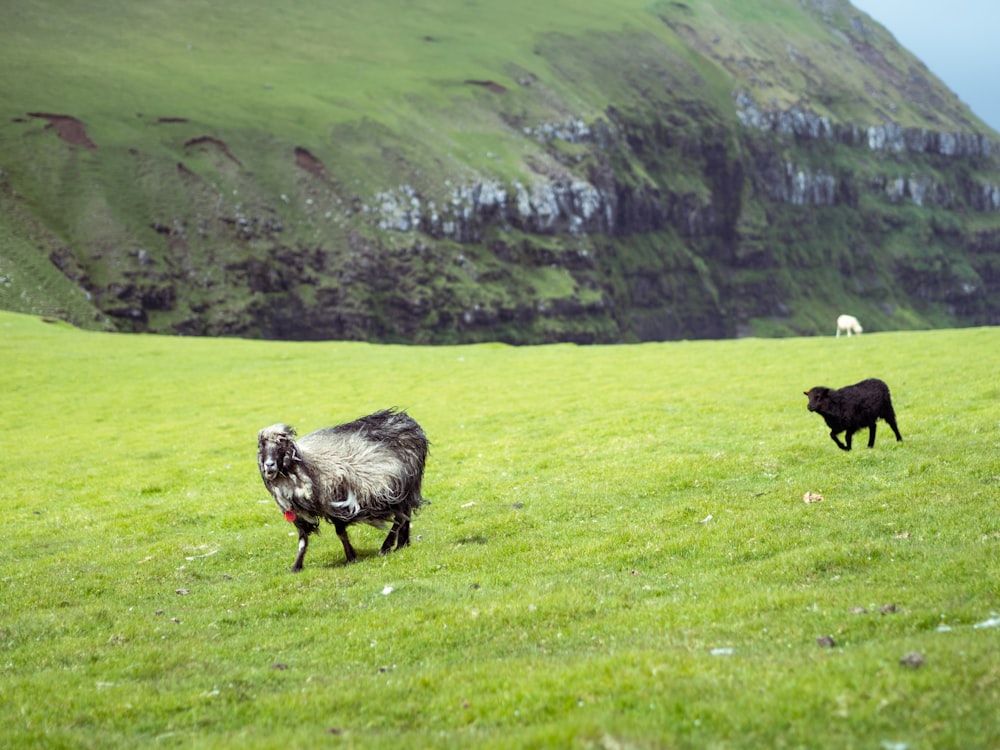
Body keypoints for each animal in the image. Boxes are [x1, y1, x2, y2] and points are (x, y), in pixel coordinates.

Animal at [258, 412, 426, 568]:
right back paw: (402, 544)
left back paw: (386, 547)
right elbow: (303, 540)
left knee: (400, 518)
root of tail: (409, 422)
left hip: (400, 486)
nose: (269, 465)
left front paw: (351, 557)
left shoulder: (335, 501)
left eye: (280, 445)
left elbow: (340, 533)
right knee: (405, 516)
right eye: (261, 446)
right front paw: (296, 567)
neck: (306, 464)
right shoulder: (299, 513)